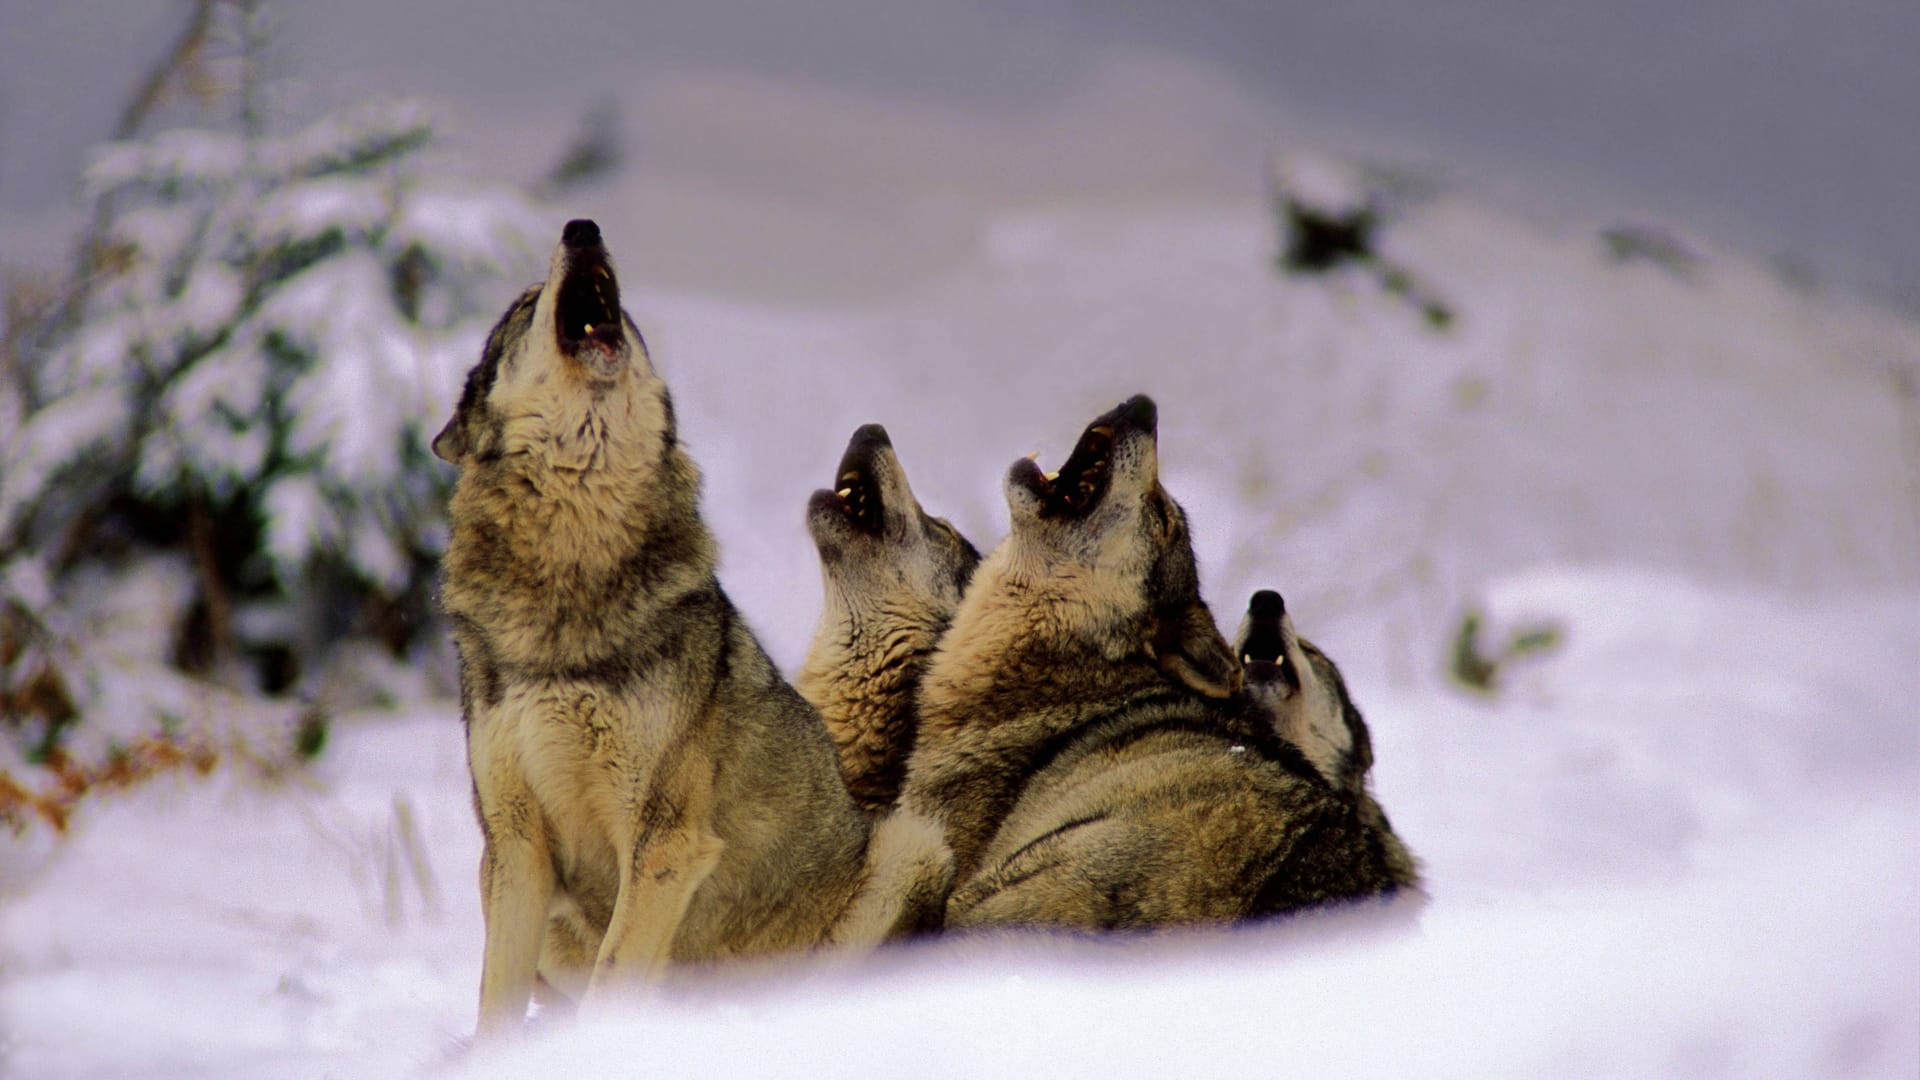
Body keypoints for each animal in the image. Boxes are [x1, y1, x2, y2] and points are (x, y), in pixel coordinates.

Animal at [432, 219, 948, 1037]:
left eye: (631, 318)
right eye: (525, 303)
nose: (582, 227)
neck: (571, 578)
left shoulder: (664, 841)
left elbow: (613, 978)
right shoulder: (513, 848)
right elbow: (494, 1005)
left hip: (909, 847)